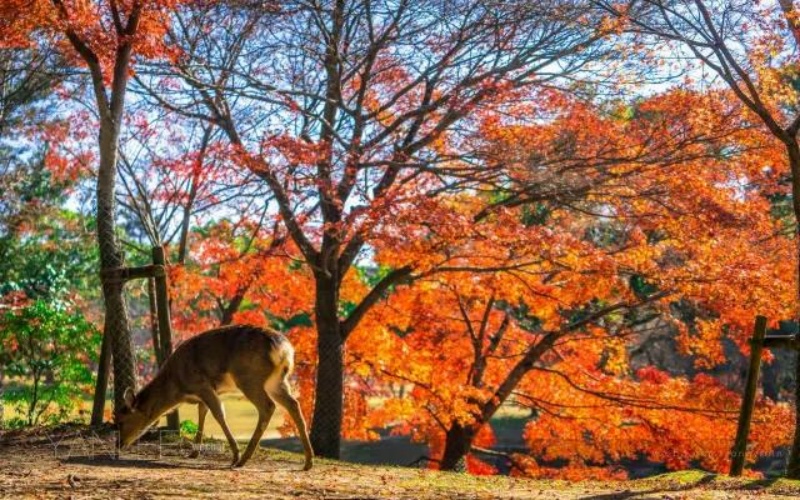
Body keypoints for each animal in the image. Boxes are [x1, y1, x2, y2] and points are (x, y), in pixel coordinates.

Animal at [114, 324, 314, 470]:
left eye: (121, 420)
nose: (118, 444)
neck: (177, 386)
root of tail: (285, 350)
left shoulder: (202, 384)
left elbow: (218, 414)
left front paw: (234, 455)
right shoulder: (206, 392)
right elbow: (202, 413)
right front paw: (193, 453)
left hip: (249, 377)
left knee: (268, 406)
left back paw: (242, 460)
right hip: (277, 381)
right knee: (293, 404)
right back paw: (308, 462)